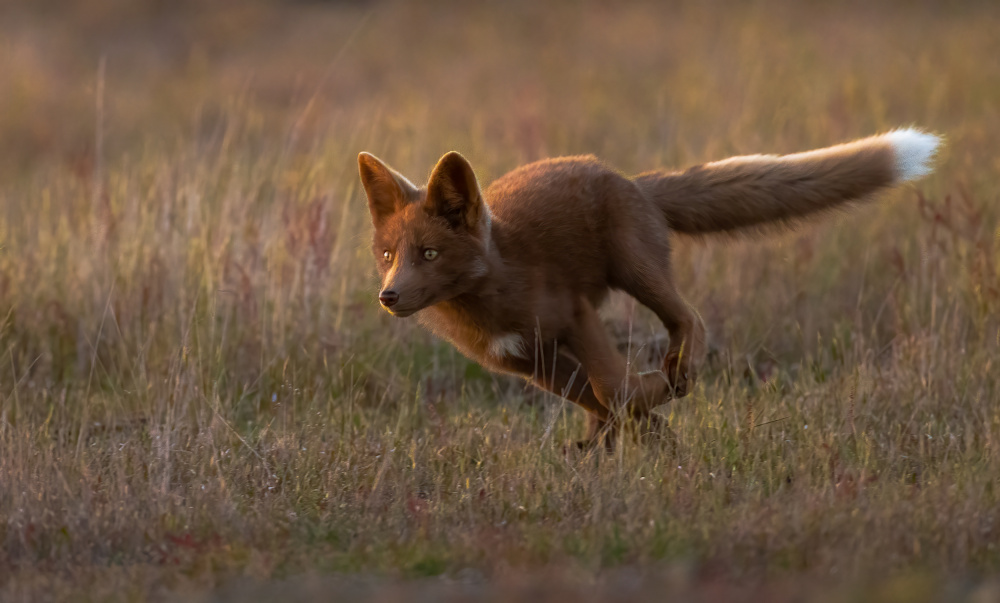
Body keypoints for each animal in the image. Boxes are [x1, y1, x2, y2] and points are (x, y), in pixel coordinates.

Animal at [358, 130, 936, 446]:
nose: (388, 297)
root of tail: (631, 180)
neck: (494, 295)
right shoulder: (525, 359)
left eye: (429, 254)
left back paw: (679, 374)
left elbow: (613, 389)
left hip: (634, 269)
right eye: (388, 257)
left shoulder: (573, 316)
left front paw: (655, 400)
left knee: (690, 319)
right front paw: (644, 432)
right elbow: (597, 397)